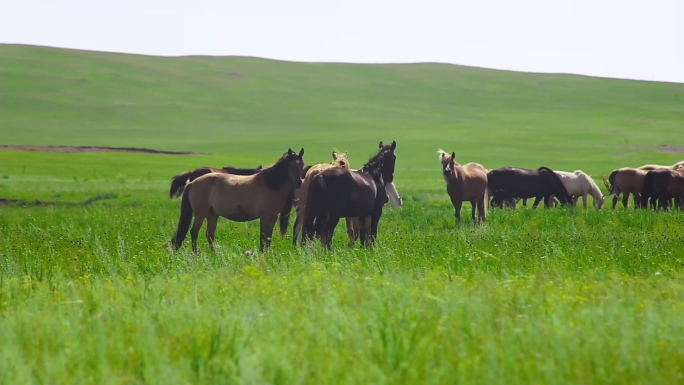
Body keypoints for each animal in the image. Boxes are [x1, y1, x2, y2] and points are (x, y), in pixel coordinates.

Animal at [172, 148, 306, 252]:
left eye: (302, 164)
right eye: (290, 165)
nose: (299, 182)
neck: (270, 184)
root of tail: (192, 183)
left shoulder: (272, 218)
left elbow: (267, 238)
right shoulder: (266, 217)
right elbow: (263, 238)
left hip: (212, 214)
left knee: (209, 235)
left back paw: (215, 254)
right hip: (201, 214)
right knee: (194, 232)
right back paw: (196, 253)